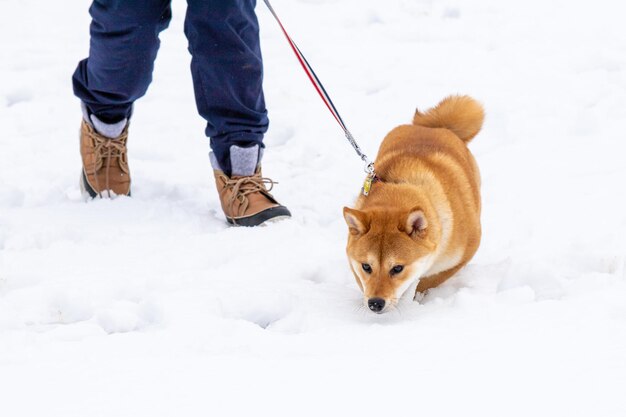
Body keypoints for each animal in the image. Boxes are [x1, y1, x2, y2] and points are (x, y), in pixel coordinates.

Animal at [342, 95, 482, 312]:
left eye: (397, 268)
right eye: (366, 266)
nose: (375, 303)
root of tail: (435, 127)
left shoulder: (464, 251)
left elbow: (428, 280)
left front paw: (414, 297)